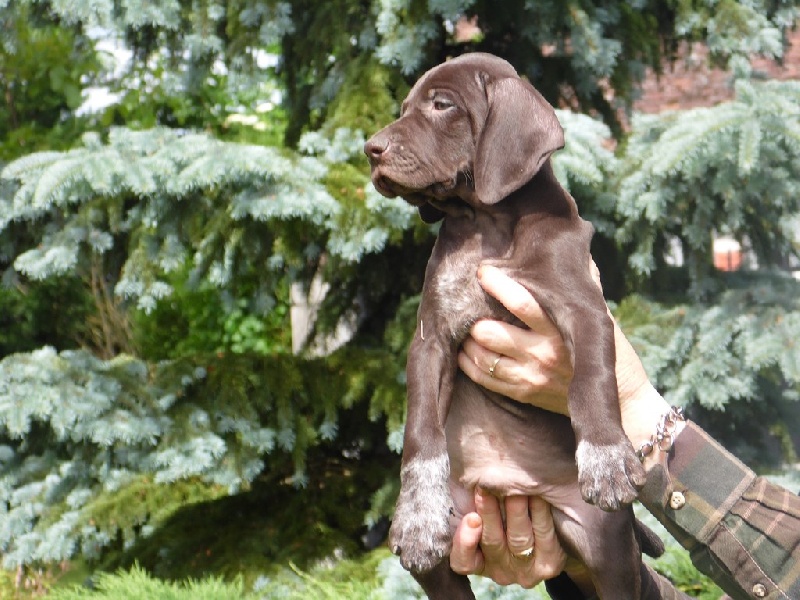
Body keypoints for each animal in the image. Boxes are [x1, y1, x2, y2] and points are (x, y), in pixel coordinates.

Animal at [366, 54, 660, 596]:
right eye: (404, 108)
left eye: (442, 105)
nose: (371, 150)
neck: (488, 223)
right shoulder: (430, 340)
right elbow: (420, 430)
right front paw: (416, 514)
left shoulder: (585, 308)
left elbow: (592, 381)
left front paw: (606, 457)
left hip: (610, 548)